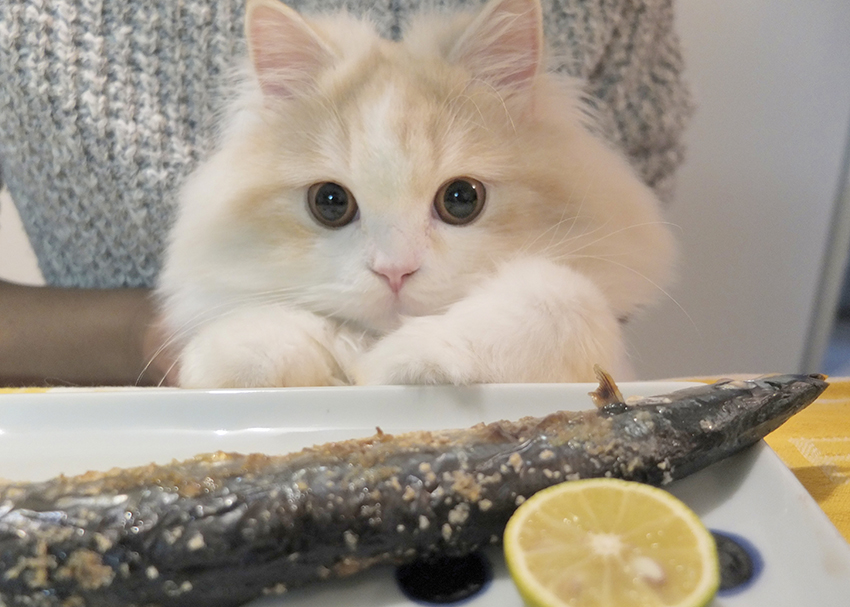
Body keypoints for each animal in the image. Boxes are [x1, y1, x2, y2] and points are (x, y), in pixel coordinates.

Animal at [157, 0, 676, 390]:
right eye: (330, 203)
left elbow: (552, 301)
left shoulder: (583, 317)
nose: (395, 272)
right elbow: (249, 338)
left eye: (462, 199)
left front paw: (401, 361)